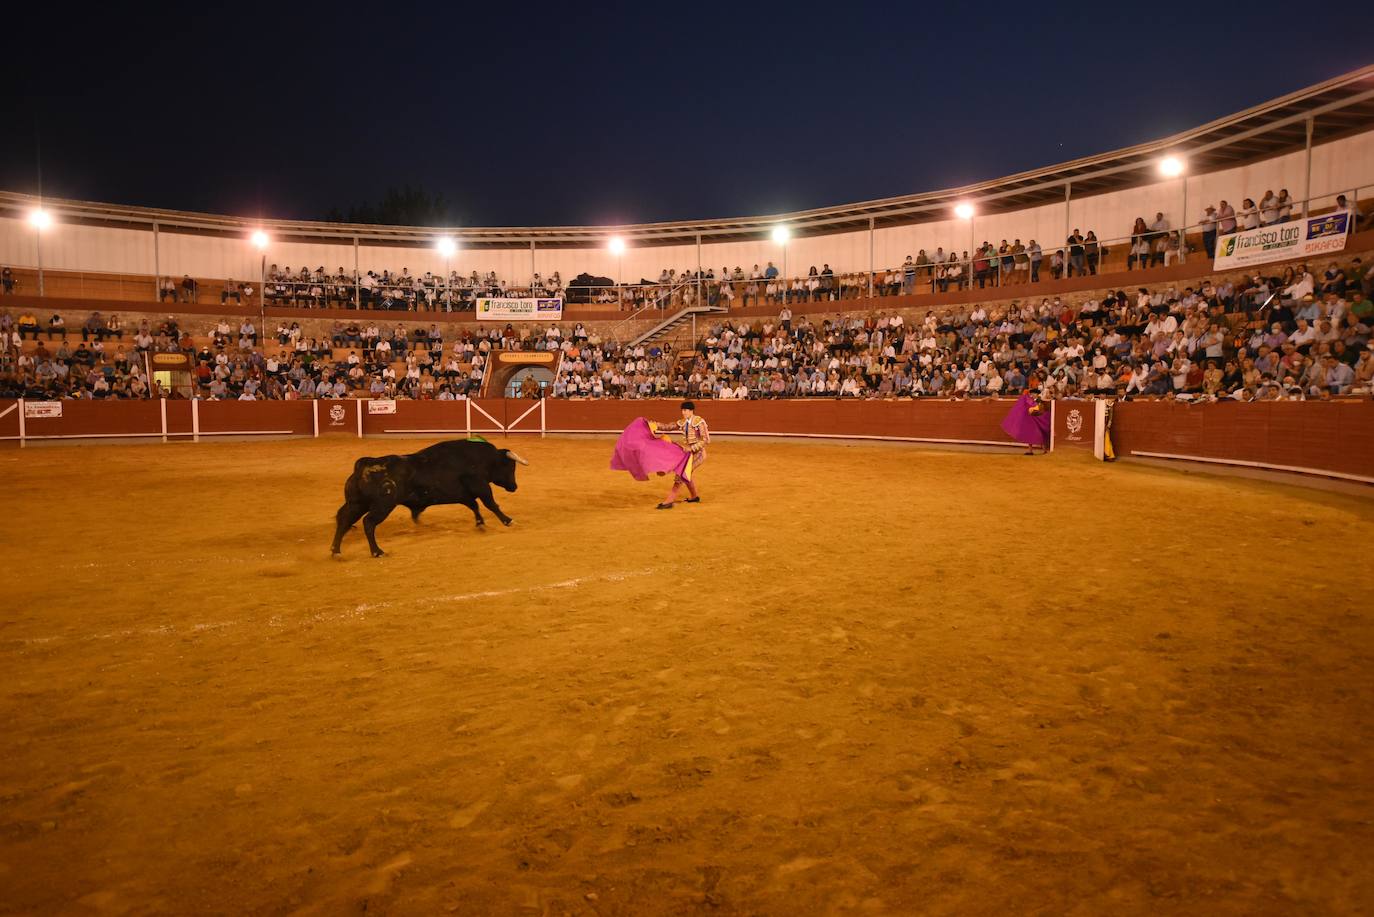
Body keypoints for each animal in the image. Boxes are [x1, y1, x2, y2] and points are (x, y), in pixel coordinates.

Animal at [329, 439, 527, 560]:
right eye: (510, 467)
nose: (514, 487)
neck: (484, 459)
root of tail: (364, 465)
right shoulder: (481, 486)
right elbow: (490, 504)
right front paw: (508, 521)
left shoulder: (464, 494)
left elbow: (474, 506)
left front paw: (480, 524)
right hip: (382, 506)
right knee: (368, 523)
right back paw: (377, 552)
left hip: (357, 504)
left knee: (344, 520)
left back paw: (336, 552)